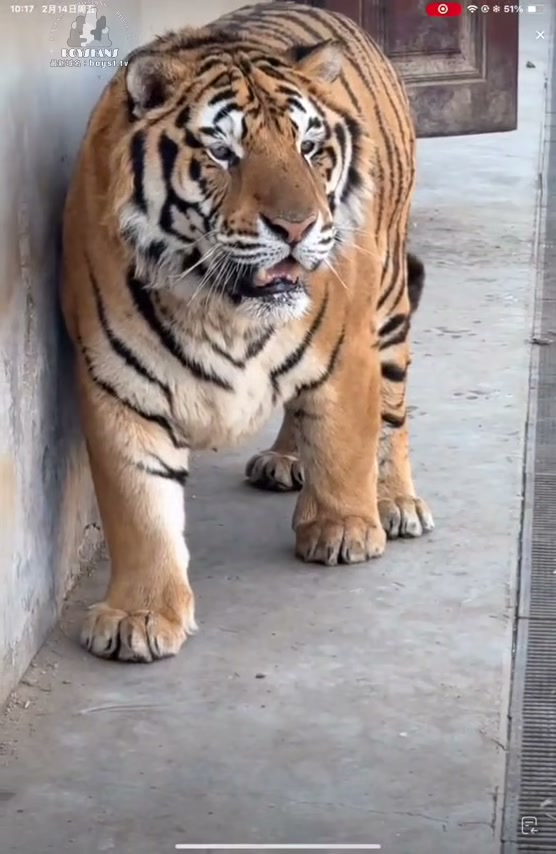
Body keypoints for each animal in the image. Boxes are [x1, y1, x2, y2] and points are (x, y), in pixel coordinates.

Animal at [61, 0, 434, 664]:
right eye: (222, 153)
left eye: (309, 147)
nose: (297, 227)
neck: (221, 307)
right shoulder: (117, 383)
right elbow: (139, 508)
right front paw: (140, 615)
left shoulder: (349, 349)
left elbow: (345, 436)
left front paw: (344, 528)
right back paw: (286, 459)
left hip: (390, 296)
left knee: (393, 410)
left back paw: (394, 501)